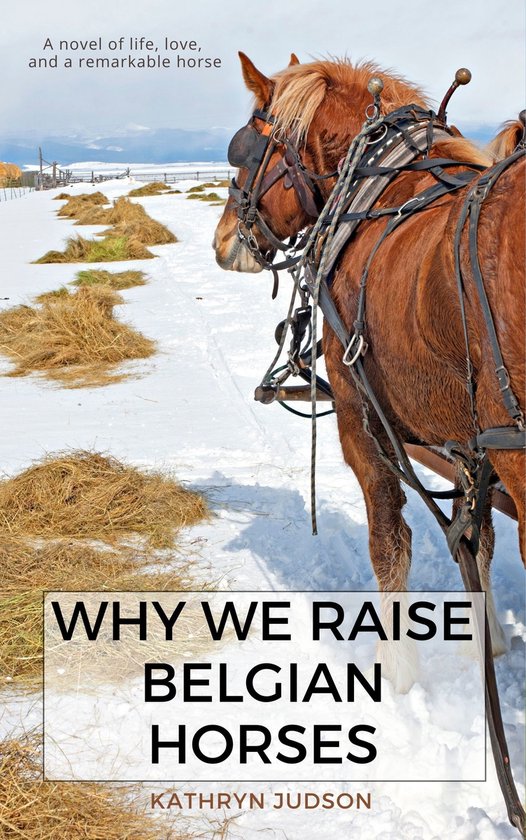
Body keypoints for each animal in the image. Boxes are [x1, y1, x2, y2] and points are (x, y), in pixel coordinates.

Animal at [213, 53, 525, 693]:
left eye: (242, 153)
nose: (223, 241)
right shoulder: (468, 437)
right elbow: (477, 537)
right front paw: (485, 641)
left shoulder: (361, 418)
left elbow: (389, 541)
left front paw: (394, 670)